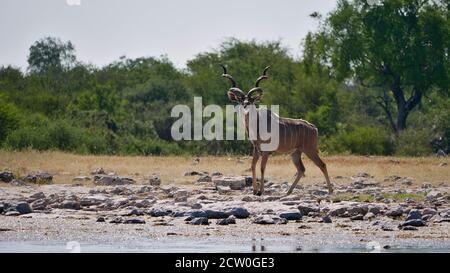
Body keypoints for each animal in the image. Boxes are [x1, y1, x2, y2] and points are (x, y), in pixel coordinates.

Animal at [220, 64, 332, 194]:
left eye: (251, 100)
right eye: (241, 100)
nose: (245, 104)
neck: (256, 124)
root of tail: (313, 128)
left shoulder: (266, 151)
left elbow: (262, 167)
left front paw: (261, 191)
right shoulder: (256, 149)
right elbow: (252, 166)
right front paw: (254, 190)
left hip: (310, 150)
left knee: (322, 165)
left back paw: (330, 191)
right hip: (296, 153)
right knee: (301, 169)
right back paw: (288, 192)